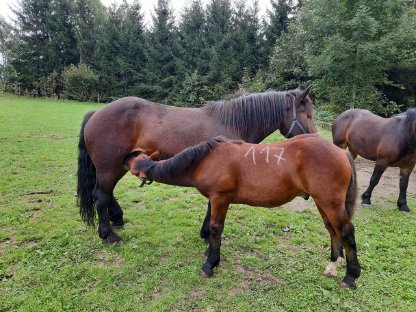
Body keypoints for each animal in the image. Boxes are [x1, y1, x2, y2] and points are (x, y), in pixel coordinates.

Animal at [77, 89, 316, 243]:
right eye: (308, 114)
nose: (315, 140)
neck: (232, 123)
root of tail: (95, 114)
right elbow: (212, 207)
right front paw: (207, 234)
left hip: (118, 165)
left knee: (106, 193)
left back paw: (117, 218)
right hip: (110, 167)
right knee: (100, 195)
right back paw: (108, 235)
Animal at [127, 135, 360, 288]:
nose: (126, 155)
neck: (206, 160)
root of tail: (341, 152)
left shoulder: (220, 199)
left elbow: (215, 229)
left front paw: (210, 264)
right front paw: (211, 254)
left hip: (330, 203)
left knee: (346, 231)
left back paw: (350, 276)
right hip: (323, 203)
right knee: (333, 230)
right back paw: (333, 265)